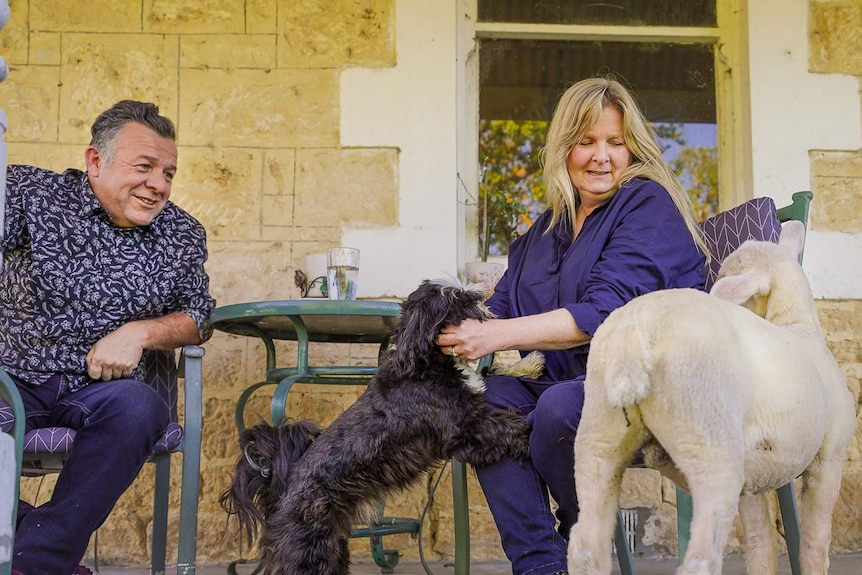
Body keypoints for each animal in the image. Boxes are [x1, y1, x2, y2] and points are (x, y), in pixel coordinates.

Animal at [224, 278, 548, 572]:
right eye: (458, 302)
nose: (485, 302)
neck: (426, 365)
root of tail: (279, 485)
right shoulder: (466, 432)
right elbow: (511, 427)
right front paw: (534, 435)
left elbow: (490, 371)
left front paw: (530, 363)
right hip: (307, 548)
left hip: (332, 546)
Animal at [568, 222, 856, 575]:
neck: (797, 324)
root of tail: (636, 333)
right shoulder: (829, 458)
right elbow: (815, 543)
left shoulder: (754, 469)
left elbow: (760, 543)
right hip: (707, 431)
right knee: (701, 557)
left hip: (599, 434)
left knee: (584, 545)